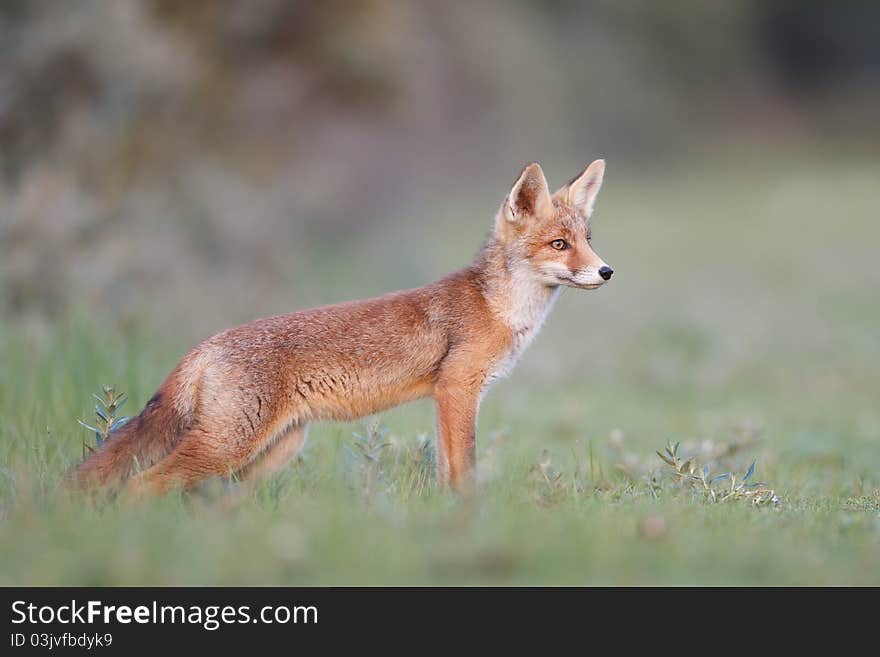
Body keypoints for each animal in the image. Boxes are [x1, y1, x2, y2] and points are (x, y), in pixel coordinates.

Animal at [74, 160, 612, 492]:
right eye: (559, 244)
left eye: (587, 239)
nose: (607, 271)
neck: (498, 307)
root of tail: (204, 345)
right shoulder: (458, 389)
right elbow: (464, 470)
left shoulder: (448, 397)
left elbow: (445, 469)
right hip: (226, 447)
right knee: (140, 487)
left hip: (273, 452)